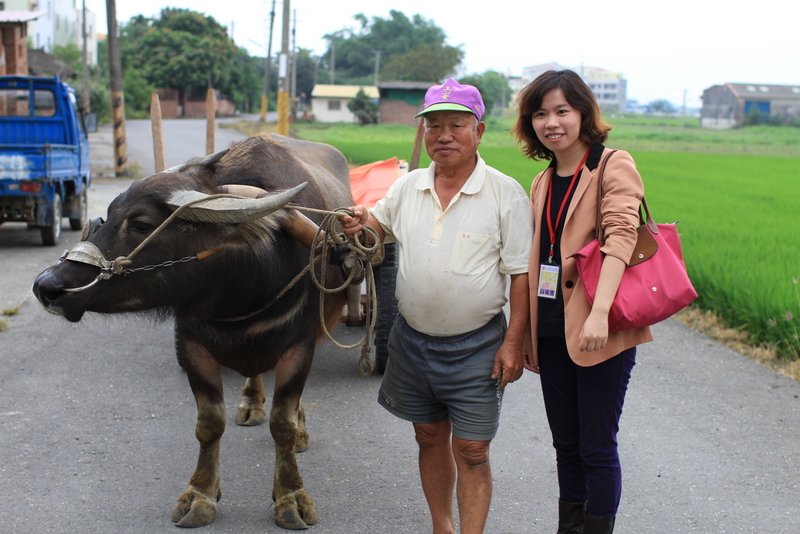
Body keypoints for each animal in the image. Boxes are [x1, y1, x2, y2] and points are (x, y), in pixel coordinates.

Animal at [34, 134, 354, 532]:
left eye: (141, 224)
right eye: (107, 216)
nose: (47, 286)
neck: (243, 289)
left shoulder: (300, 347)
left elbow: (283, 422)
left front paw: (291, 497)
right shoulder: (192, 346)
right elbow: (209, 423)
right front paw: (200, 495)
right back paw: (251, 403)